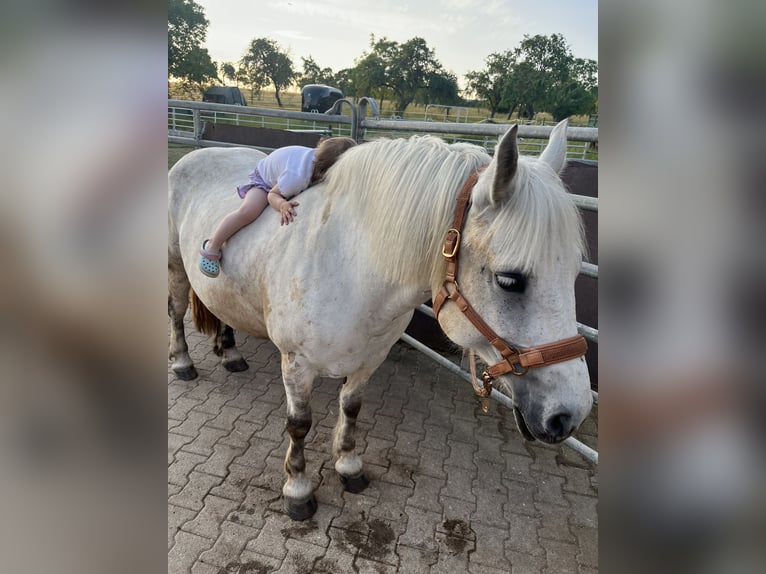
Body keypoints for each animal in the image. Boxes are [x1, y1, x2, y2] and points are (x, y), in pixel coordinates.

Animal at [170, 121, 592, 520]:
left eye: (574, 274)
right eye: (509, 280)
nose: (569, 416)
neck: (347, 264)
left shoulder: (369, 359)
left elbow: (351, 408)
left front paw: (348, 466)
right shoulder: (296, 365)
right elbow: (299, 425)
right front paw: (298, 489)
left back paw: (230, 354)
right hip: (176, 269)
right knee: (176, 314)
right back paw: (183, 363)